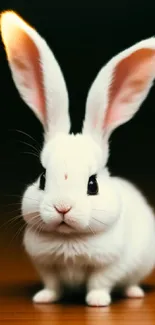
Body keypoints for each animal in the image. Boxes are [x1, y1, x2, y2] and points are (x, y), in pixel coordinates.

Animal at [0, 9, 155, 304]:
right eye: (42, 178)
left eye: (92, 184)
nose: (62, 208)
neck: (68, 240)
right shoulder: (45, 264)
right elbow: (52, 284)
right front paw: (43, 299)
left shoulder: (111, 265)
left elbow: (99, 282)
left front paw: (97, 302)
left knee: (130, 282)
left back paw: (133, 293)